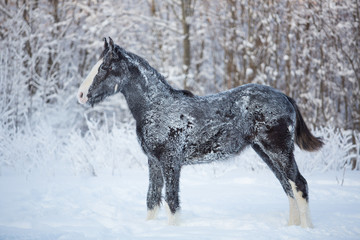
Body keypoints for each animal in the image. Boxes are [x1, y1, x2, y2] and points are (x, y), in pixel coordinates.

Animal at [78, 37, 324, 227]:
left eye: (104, 67)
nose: (81, 95)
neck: (157, 107)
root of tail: (285, 97)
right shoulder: (154, 162)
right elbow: (152, 199)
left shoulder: (171, 162)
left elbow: (172, 201)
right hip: (265, 152)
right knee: (287, 186)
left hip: (279, 150)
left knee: (299, 184)